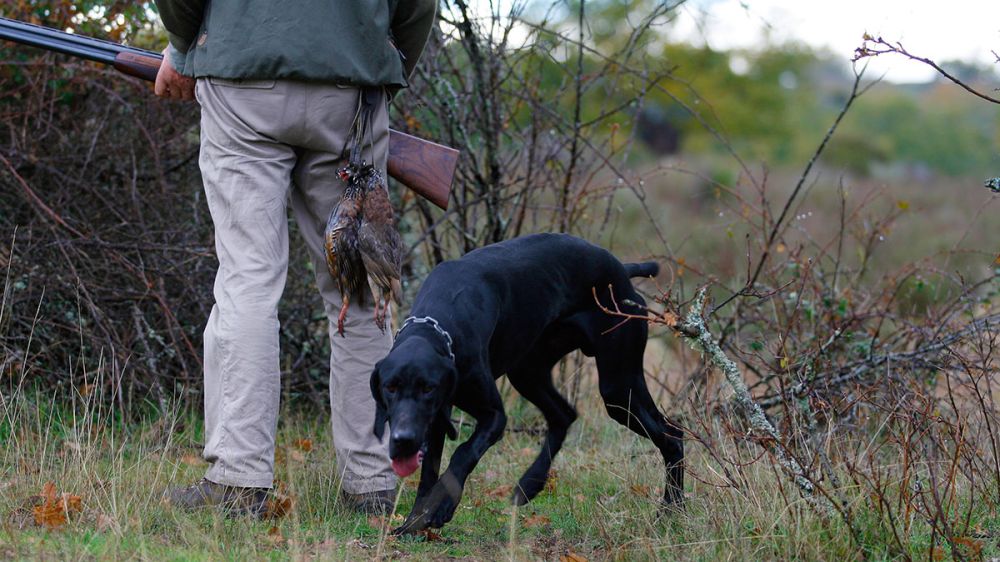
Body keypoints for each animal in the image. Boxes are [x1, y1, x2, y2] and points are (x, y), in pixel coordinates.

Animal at [372, 232, 684, 528]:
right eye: (390, 388)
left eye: (428, 388)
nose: (403, 440)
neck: (439, 321)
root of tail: (622, 269)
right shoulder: (437, 418)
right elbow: (428, 473)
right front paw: (414, 521)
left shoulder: (493, 416)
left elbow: (462, 454)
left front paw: (441, 507)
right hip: (528, 371)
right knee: (564, 415)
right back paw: (530, 483)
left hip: (618, 385)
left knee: (672, 436)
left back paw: (672, 509)